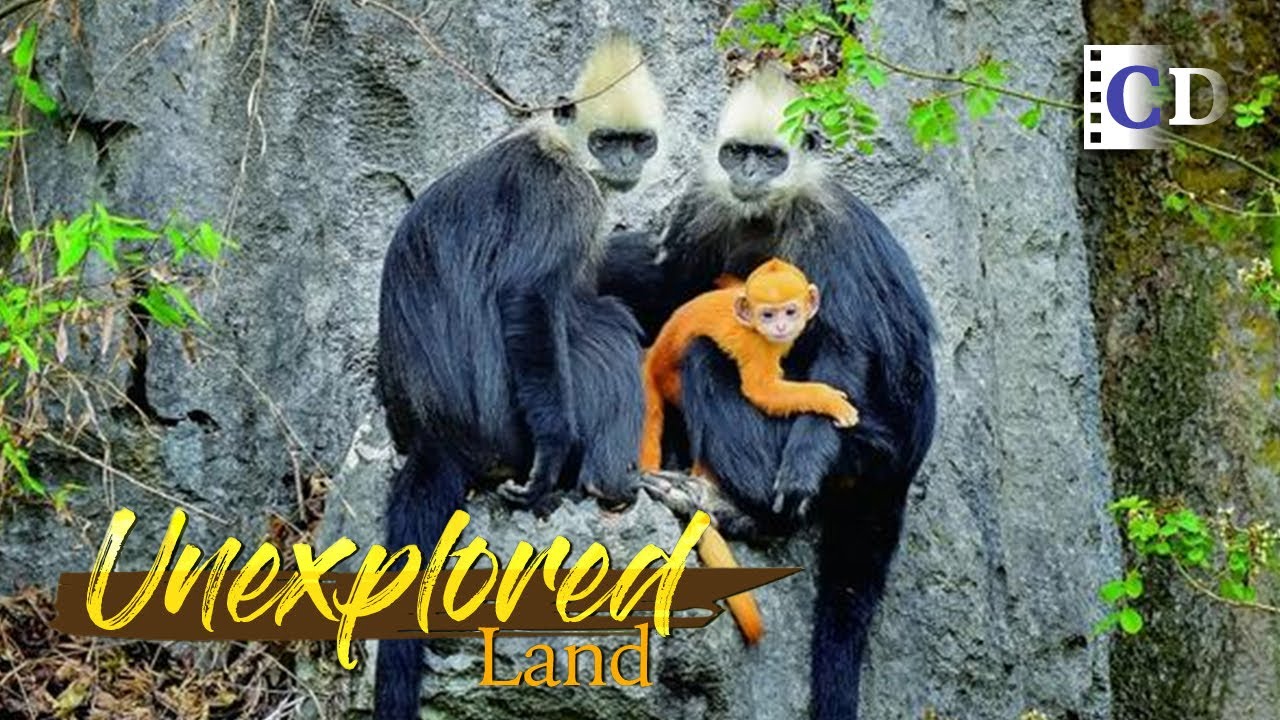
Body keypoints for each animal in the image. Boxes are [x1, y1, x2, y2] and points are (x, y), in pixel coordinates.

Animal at [374, 32, 664, 720]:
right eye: (607, 141)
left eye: (638, 141)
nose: (624, 162)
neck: (558, 146)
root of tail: (436, 436)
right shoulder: (563, 198)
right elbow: (526, 299)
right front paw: (556, 456)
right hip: (505, 426)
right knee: (598, 327)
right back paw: (610, 482)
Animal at [640, 257, 858, 472]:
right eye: (768, 315)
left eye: (790, 312)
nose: (780, 327)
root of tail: (654, 354)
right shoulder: (756, 345)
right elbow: (761, 389)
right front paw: (830, 401)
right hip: (672, 382)